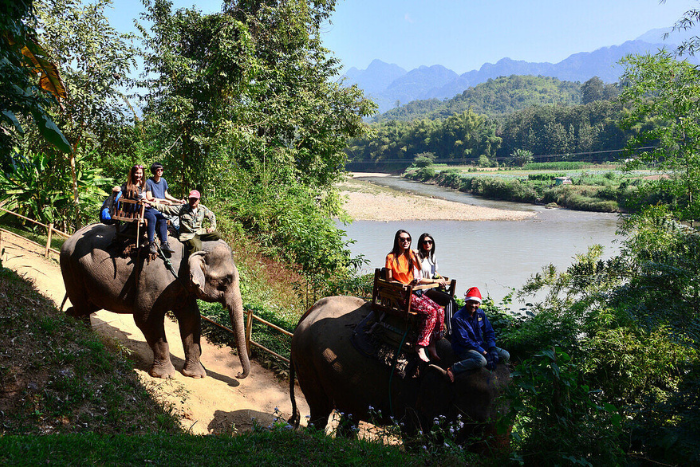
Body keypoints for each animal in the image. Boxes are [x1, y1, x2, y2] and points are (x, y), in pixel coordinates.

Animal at [60, 223, 250, 380]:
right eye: (225, 280)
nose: (238, 374)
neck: (192, 246)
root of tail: (71, 236)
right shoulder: (156, 278)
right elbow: (146, 316)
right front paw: (165, 375)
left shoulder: (183, 288)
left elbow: (192, 320)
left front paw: (196, 375)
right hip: (71, 265)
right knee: (83, 303)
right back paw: (83, 331)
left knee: (90, 304)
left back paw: (69, 316)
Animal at [288, 296, 508, 450]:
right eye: (478, 423)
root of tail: (312, 308)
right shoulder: (413, 395)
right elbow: (415, 437)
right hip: (306, 358)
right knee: (320, 408)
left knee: (350, 414)